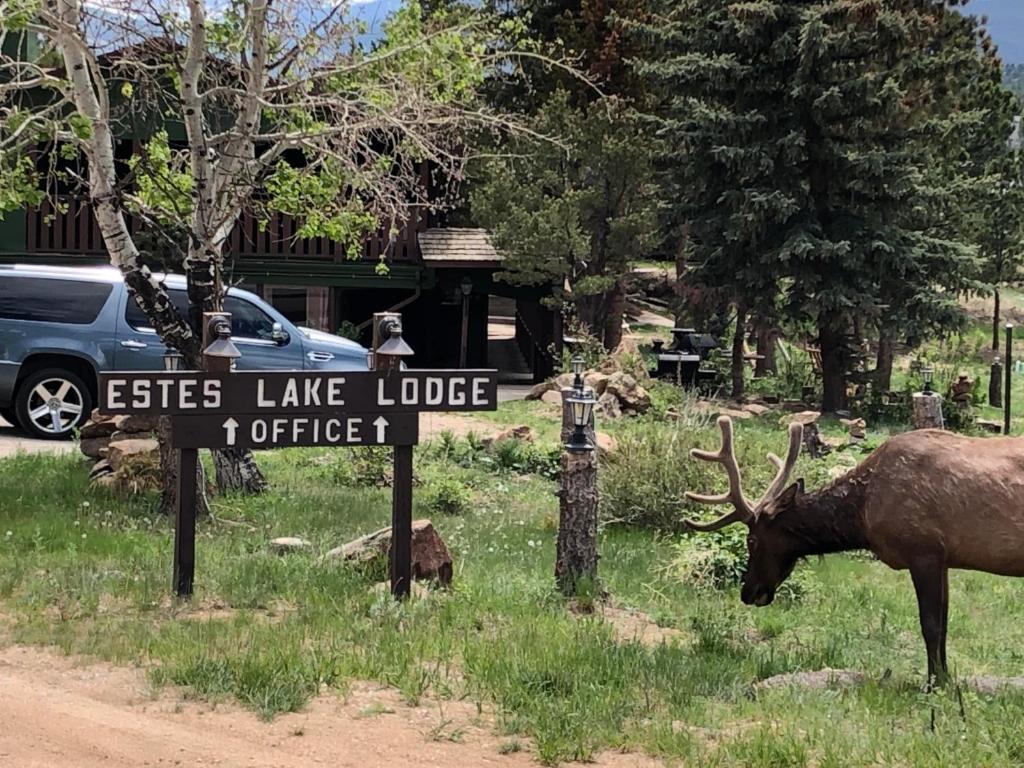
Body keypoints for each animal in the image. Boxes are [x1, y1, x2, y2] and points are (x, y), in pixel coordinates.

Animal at [684, 417, 1024, 684]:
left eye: (752, 540)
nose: (749, 591)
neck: (864, 513)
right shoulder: (944, 559)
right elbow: (944, 625)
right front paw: (945, 679)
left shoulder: (924, 550)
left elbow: (930, 625)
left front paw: (935, 686)